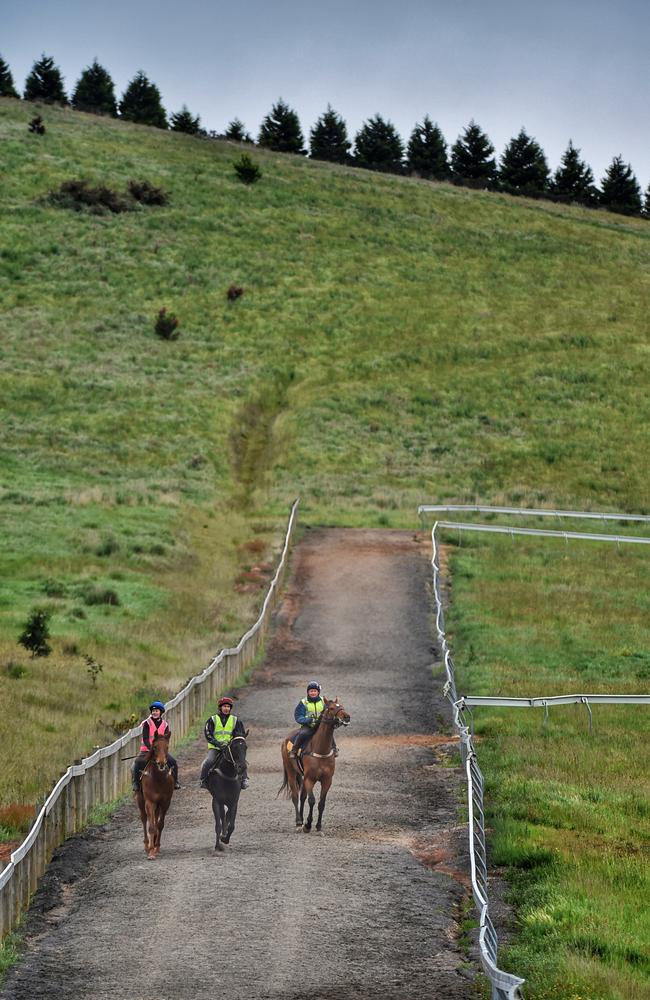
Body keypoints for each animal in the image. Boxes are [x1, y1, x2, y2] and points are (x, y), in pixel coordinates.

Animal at [278, 696, 350, 836]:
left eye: (342, 706)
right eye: (331, 708)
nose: (347, 717)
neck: (320, 749)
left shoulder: (327, 780)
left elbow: (321, 803)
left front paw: (318, 826)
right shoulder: (310, 779)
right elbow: (312, 800)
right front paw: (307, 825)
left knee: (302, 797)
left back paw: (301, 820)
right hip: (291, 771)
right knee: (295, 796)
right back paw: (299, 823)